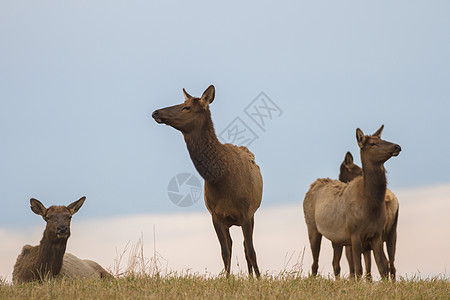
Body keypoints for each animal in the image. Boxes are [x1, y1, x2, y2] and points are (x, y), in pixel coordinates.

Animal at [152, 84, 264, 276]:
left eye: (186, 107)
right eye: (182, 102)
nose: (156, 112)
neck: (221, 180)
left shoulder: (246, 212)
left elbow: (251, 251)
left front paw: (259, 278)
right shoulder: (215, 215)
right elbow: (225, 252)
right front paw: (227, 279)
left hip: (252, 213)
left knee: (245, 247)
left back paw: (251, 276)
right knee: (233, 245)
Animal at [340, 151, 400, 280]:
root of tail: (389, 199)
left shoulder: (351, 243)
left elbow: (353, 269)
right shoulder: (366, 246)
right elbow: (368, 271)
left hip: (380, 235)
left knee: (386, 262)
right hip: (392, 233)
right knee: (392, 264)